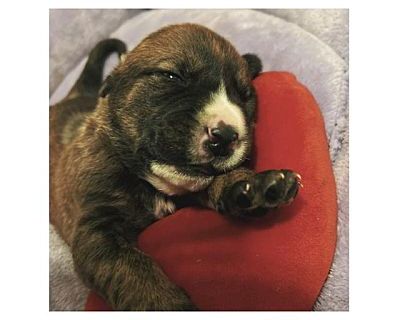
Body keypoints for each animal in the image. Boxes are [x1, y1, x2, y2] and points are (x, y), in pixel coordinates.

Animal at [50, 23, 300, 310]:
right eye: (171, 76)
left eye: (245, 96)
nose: (226, 136)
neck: (152, 184)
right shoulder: (96, 230)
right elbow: (132, 268)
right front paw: (166, 304)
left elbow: (216, 181)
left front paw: (254, 186)